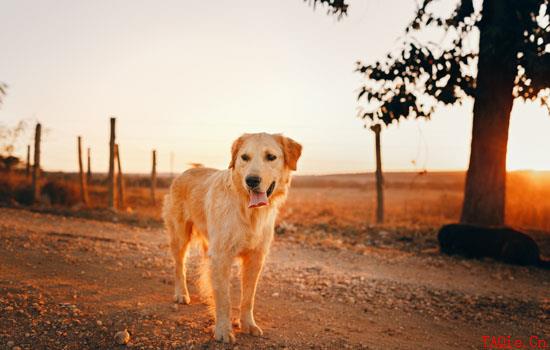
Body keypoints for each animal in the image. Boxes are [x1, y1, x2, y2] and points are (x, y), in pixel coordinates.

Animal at [162, 133, 304, 344]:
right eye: (244, 157)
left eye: (271, 157)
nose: (251, 180)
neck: (248, 211)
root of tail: (188, 170)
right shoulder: (221, 256)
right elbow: (224, 298)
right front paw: (223, 329)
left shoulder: (255, 258)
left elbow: (248, 298)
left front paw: (248, 324)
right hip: (180, 237)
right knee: (180, 266)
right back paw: (181, 294)